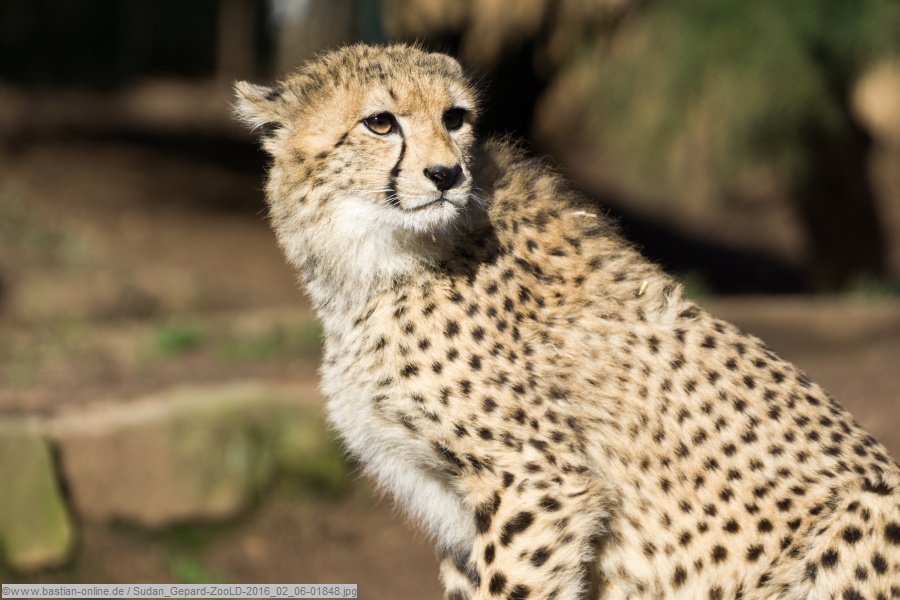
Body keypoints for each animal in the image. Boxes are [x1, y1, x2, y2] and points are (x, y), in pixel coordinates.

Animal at [235, 43, 900, 599]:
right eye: (380, 122)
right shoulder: (456, 508)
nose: (447, 175)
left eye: (455, 117)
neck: (375, 266)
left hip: (867, 512)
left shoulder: (539, 482)